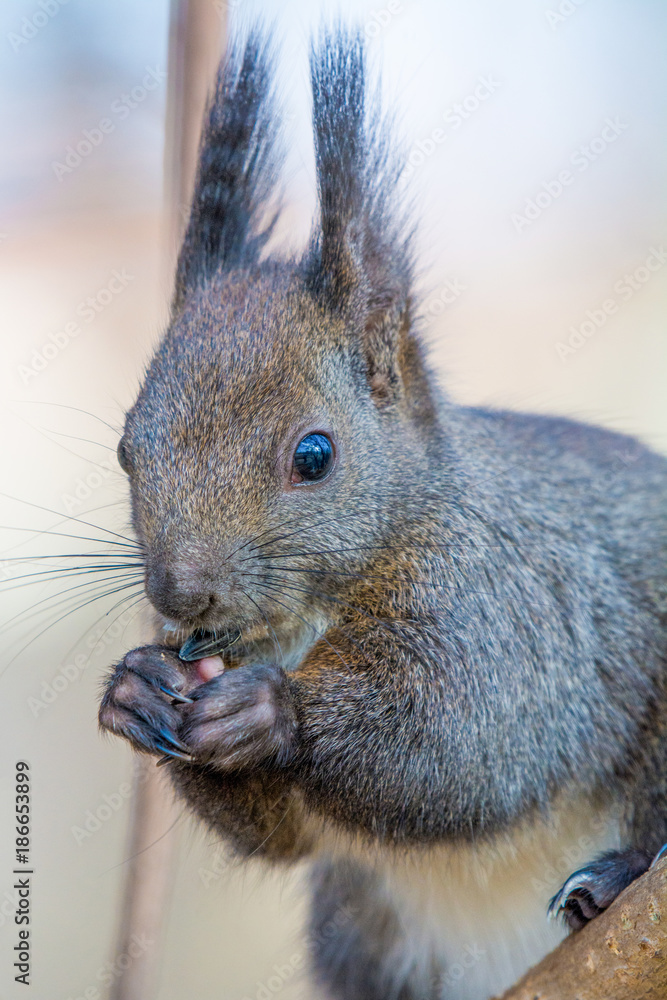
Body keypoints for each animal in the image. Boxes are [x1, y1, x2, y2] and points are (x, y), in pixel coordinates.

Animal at [99, 25, 667, 1000]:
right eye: (127, 451)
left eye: (313, 456)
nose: (179, 595)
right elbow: (280, 836)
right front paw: (135, 689)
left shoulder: (507, 609)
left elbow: (473, 741)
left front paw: (272, 711)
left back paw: (615, 877)